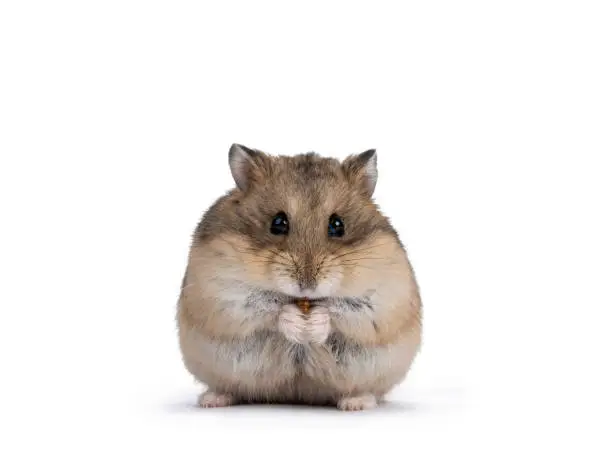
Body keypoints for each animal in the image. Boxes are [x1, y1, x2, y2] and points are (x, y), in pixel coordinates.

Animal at [177, 144, 420, 410]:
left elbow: (343, 311)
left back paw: (356, 403)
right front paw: (297, 322)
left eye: (338, 225)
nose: (307, 284)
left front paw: (313, 323)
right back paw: (211, 400)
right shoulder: (222, 291)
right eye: (278, 223)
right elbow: (267, 308)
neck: (304, 301)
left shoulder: (384, 298)